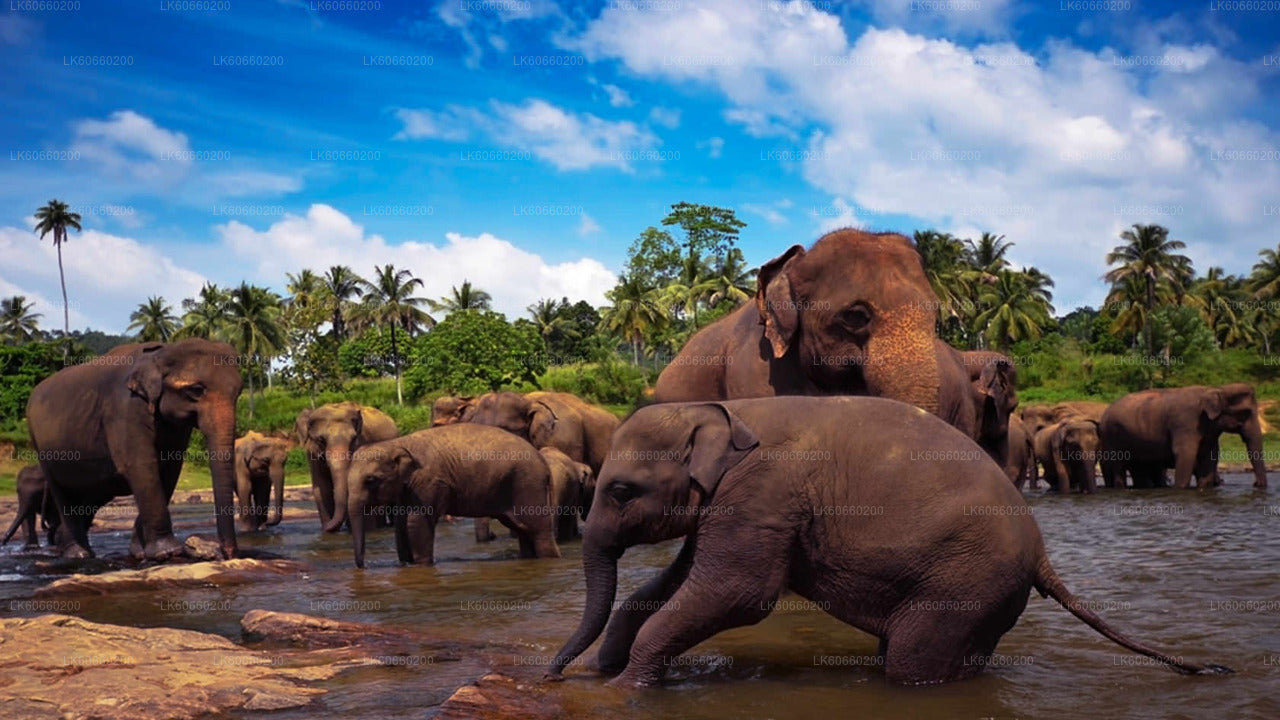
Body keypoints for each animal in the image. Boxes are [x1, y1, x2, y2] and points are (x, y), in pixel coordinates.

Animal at [26, 340, 242, 560]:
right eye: (196, 390)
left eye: (239, 392)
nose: (228, 553)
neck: (160, 354)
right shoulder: (125, 410)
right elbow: (141, 467)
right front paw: (168, 552)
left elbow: (169, 470)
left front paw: (139, 553)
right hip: (41, 448)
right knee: (63, 495)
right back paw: (79, 554)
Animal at [295, 403, 398, 532]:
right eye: (321, 440)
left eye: (353, 439)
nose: (326, 527)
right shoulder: (312, 454)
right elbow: (322, 488)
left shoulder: (363, 443)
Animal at [345, 424, 560, 568]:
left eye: (371, 480)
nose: (364, 566)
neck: (398, 443)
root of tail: (543, 462)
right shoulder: (408, 487)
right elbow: (401, 523)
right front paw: (406, 563)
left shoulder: (428, 481)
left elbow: (416, 522)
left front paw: (422, 565)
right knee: (523, 530)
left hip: (528, 485)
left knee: (538, 530)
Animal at [546, 397, 1227, 686]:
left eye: (622, 490)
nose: (553, 676)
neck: (719, 409)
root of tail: (1042, 554)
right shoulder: (735, 503)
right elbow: (678, 579)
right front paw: (608, 669)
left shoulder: (762, 493)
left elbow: (738, 593)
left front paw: (625, 689)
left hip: (965, 581)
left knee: (911, 663)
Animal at [1100, 384, 1267, 490]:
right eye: (1246, 413)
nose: (1256, 484)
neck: (1216, 388)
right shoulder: (1185, 423)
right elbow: (1185, 454)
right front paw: (1180, 488)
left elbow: (1210, 455)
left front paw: (1203, 487)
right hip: (1111, 437)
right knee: (1119, 466)